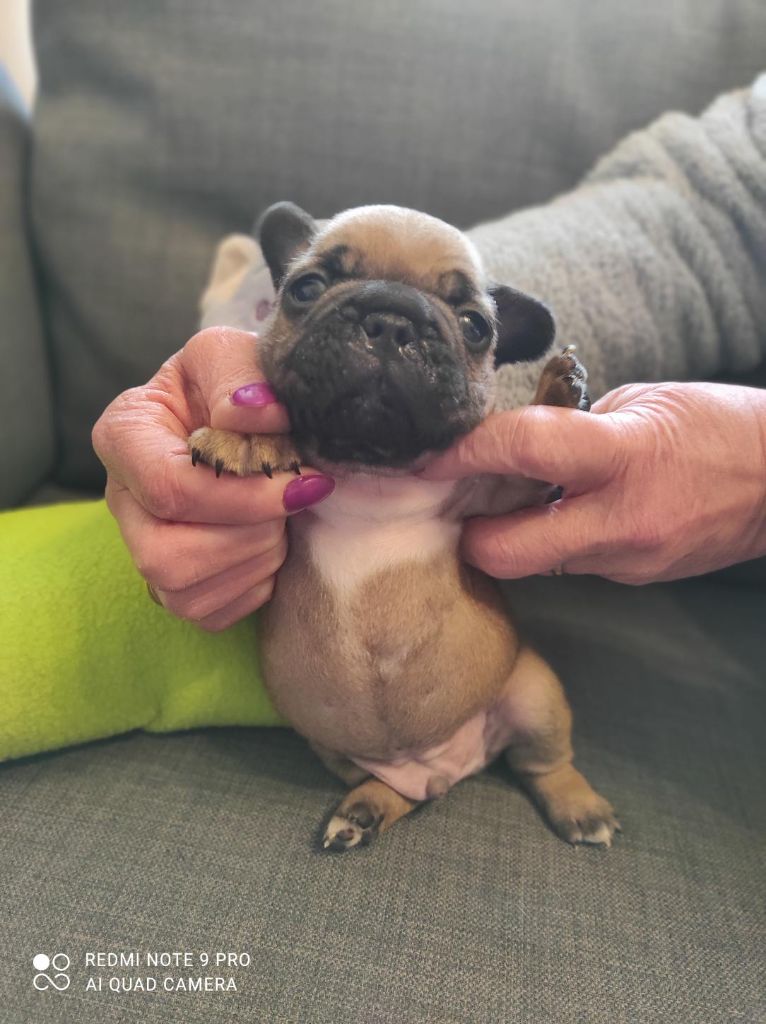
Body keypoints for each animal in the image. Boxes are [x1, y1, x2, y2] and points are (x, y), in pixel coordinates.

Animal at [190, 202, 618, 852]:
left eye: (475, 325)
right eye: (305, 288)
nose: (391, 319)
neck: (374, 471)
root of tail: (454, 765)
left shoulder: (496, 494)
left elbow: (523, 471)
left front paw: (557, 397)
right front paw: (245, 435)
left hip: (535, 692)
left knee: (543, 764)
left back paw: (581, 808)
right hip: (335, 749)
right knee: (403, 792)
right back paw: (364, 810)